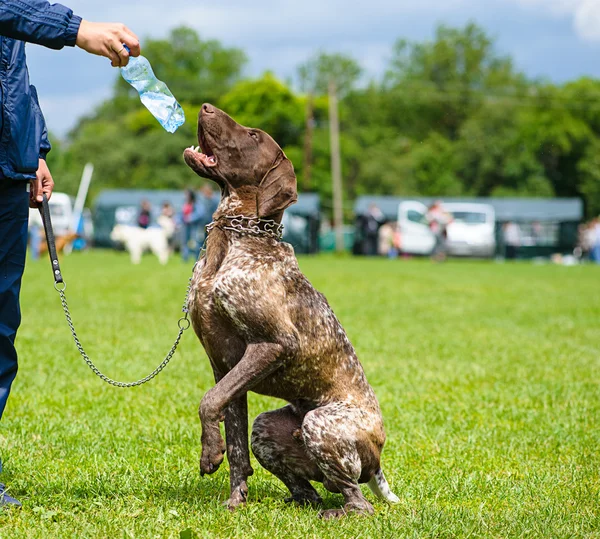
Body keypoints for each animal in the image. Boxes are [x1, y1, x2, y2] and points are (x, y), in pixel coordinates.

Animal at [183, 103, 398, 520]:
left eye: (252, 135)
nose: (205, 106)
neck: (236, 237)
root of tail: (379, 462)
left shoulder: (274, 344)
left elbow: (209, 401)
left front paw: (209, 453)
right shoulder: (225, 365)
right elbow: (234, 442)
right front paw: (235, 500)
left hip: (320, 424)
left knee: (357, 499)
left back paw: (337, 512)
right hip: (267, 427)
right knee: (312, 487)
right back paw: (299, 499)